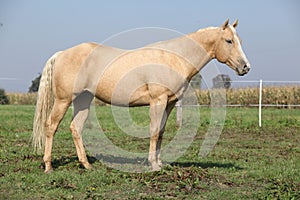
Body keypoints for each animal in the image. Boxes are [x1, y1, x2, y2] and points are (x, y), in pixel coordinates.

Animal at [32, 19, 251, 173]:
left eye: (240, 41)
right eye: (229, 41)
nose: (245, 67)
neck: (174, 57)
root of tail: (61, 53)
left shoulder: (170, 103)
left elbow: (161, 132)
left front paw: (161, 164)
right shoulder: (158, 101)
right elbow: (153, 131)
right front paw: (153, 165)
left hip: (83, 100)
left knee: (75, 128)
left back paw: (86, 165)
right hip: (63, 101)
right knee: (51, 126)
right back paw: (49, 166)